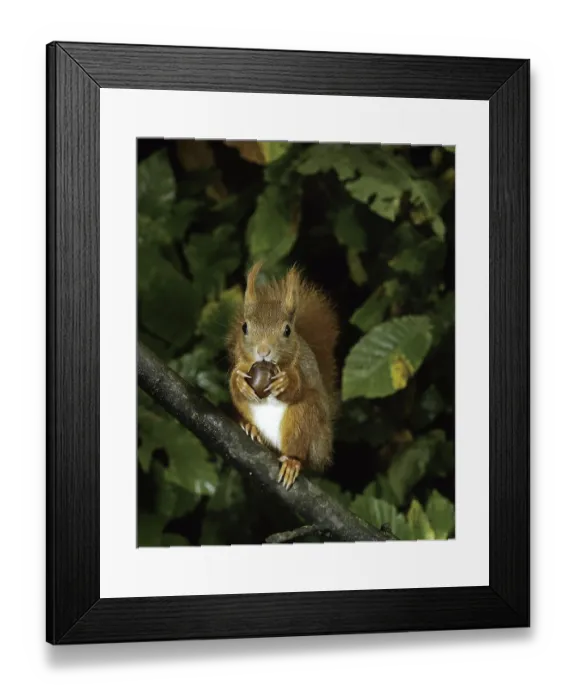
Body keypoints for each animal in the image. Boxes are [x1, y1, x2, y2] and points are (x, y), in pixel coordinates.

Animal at [228, 261, 339, 489]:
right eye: (244, 327)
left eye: (287, 331)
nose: (263, 351)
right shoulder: (241, 363)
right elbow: (234, 386)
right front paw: (239, 382)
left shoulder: (303, 368)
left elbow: (297, 387)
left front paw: (284, 383)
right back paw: (250, 427)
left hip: (304, 418)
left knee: (300, 452)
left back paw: (292, 463)